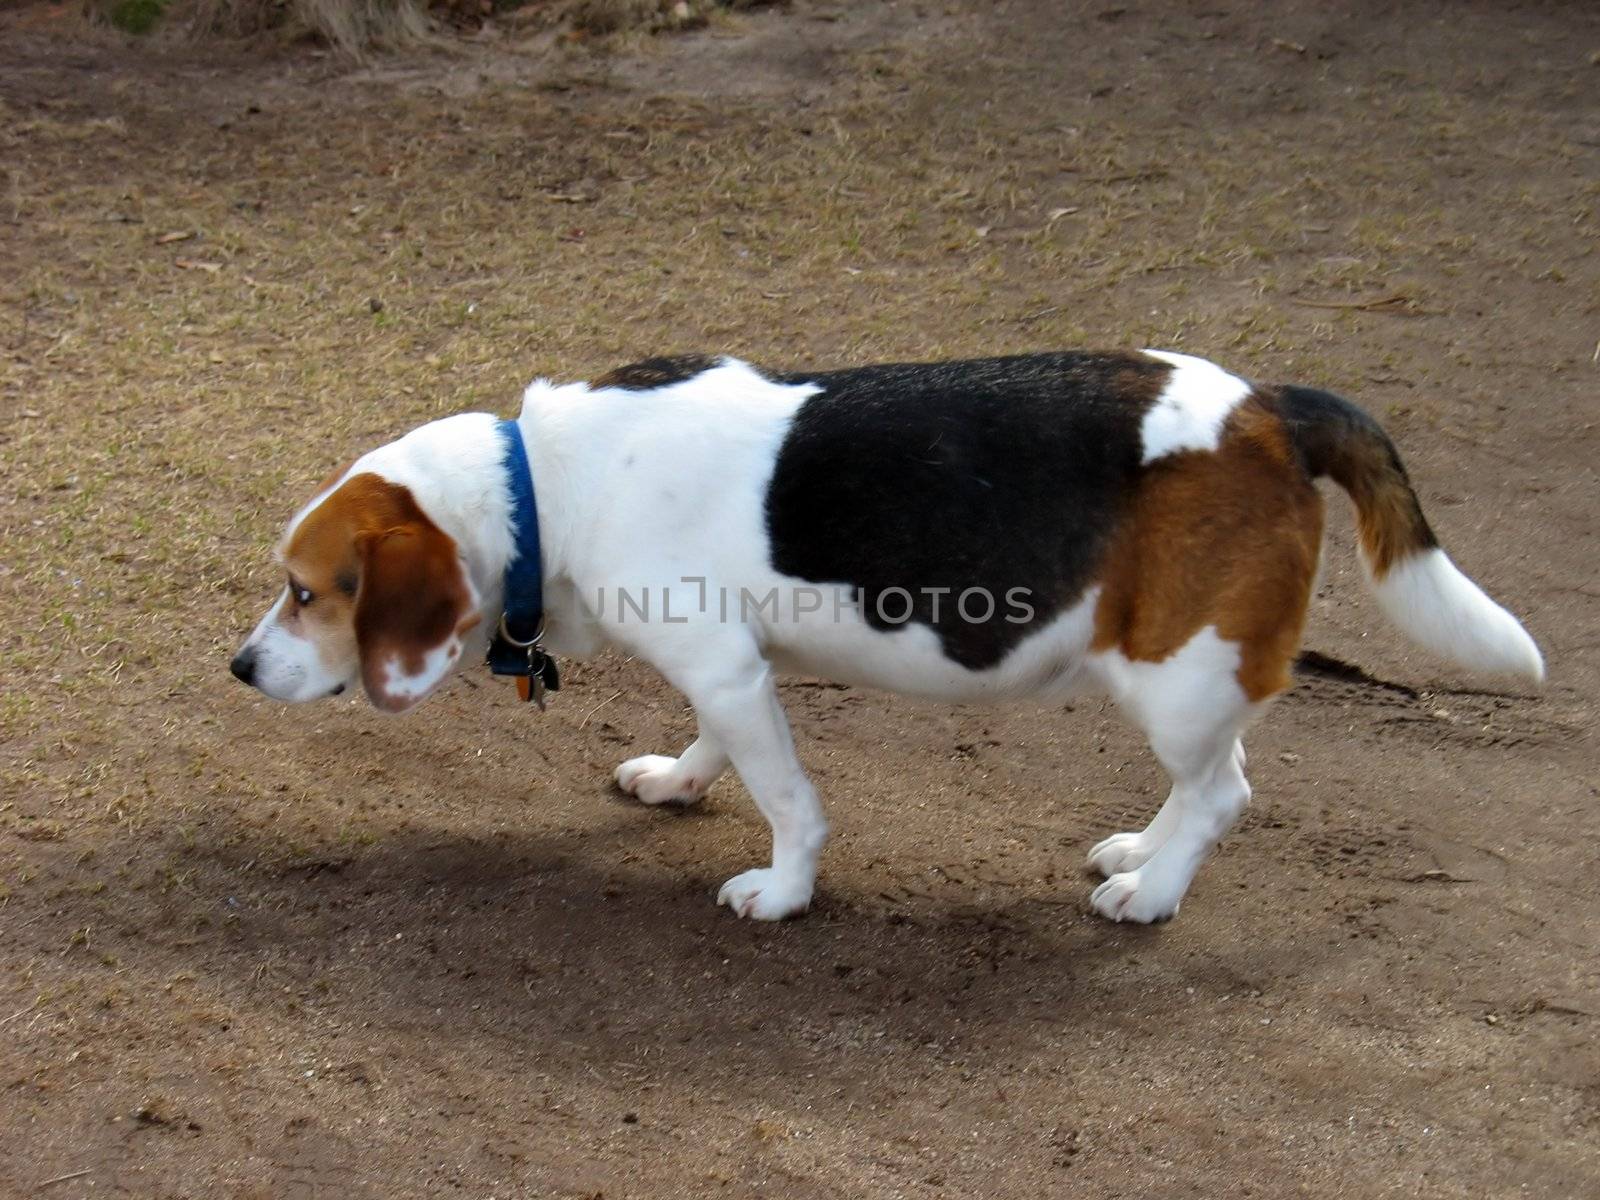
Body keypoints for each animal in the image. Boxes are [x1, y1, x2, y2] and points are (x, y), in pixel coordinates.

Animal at [232, 352, 1542, 928]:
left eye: (306, 594)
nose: (240, 668)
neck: (546, 482)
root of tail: (1273, 409)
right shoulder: (733, 675)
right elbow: (714, 745)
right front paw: (677, 781)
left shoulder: (724, 668)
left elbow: (788, 800)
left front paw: (782, 890)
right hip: (1184, 678)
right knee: (1212, 780)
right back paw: (1139, 852)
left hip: (1173, 678)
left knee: (1226, 792)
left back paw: (1152, 892)